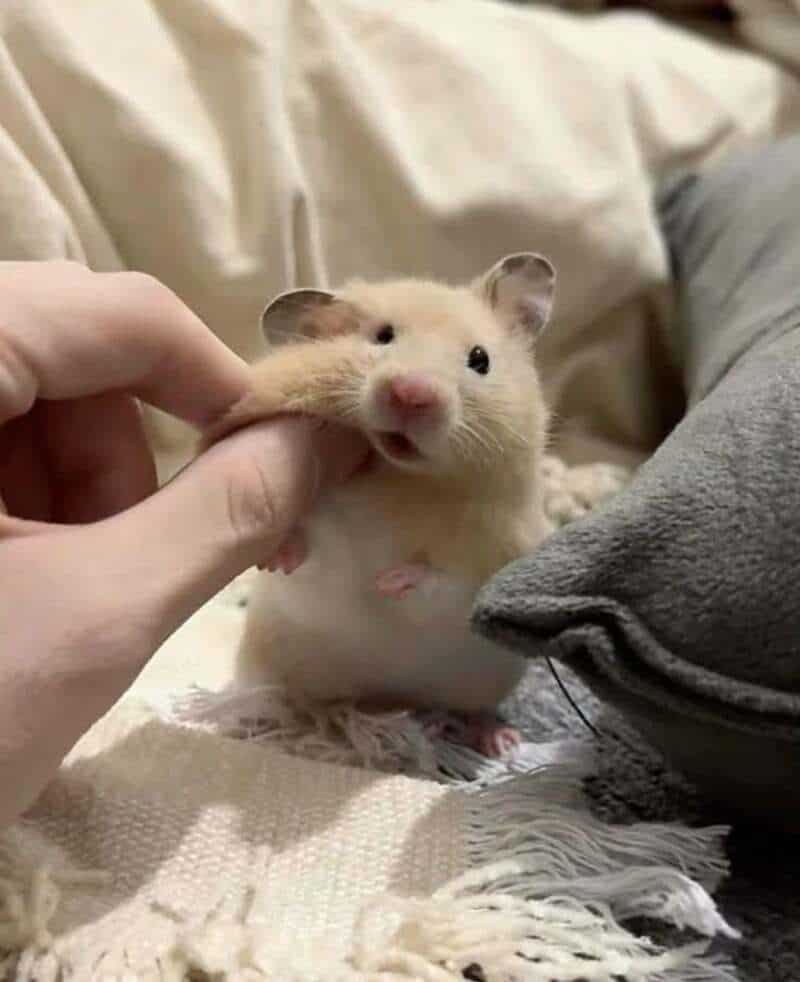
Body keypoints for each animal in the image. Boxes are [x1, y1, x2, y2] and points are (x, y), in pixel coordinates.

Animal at [205, 253, 557, 758]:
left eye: (480, 359)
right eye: (382, 336)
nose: (412, 392)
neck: (399, 478)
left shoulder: (490, 563)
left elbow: (442, 582)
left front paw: (388, 581)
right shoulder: (328, 540)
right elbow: (312, 547)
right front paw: (276, 558)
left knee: (475, 710)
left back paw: (497, 741)